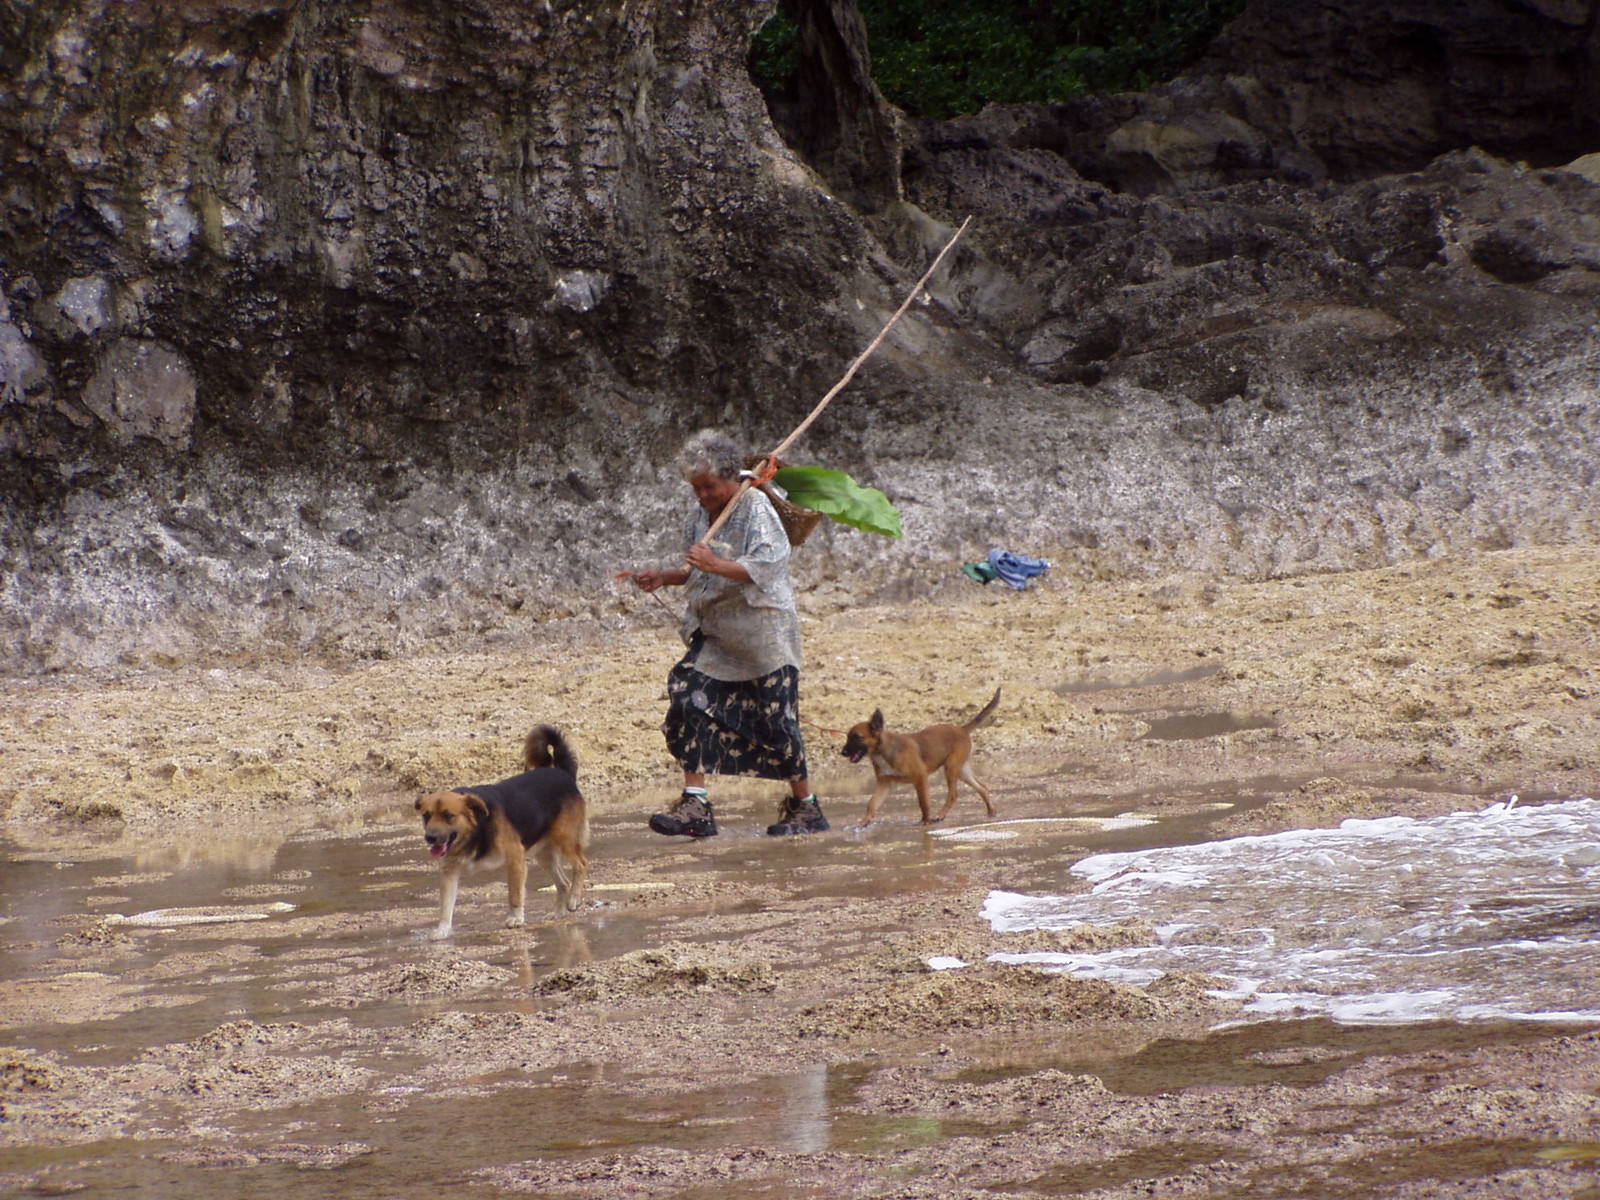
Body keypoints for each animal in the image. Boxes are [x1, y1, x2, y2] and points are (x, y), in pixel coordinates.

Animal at [412, 729, 588, 947]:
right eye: (426, 816)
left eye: (449, 816)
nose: (430, 837)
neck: (476, 829)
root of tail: (563, 772)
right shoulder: (449, 872)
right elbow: (446, 907)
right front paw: (442, 931)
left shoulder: (515, 860)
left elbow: (514, 894)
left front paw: (515, 919)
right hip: (543, 854)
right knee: (563, 883)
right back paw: (558, 914)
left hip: (565, 840)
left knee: (581, 864)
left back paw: (573, 900)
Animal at [838, 691, 998, 832]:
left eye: (856, 737)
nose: (843, 753)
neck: (882, 751)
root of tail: (962, 729)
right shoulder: (884, 783)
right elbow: (872, 804)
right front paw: (862, 823)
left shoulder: (920, 778)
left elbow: (924, 802)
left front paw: (925, 822)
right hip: (961, 771)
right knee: (982, 787)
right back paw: (991, 812)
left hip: (951, 768)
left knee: (954, 794)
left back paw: (941, 815)